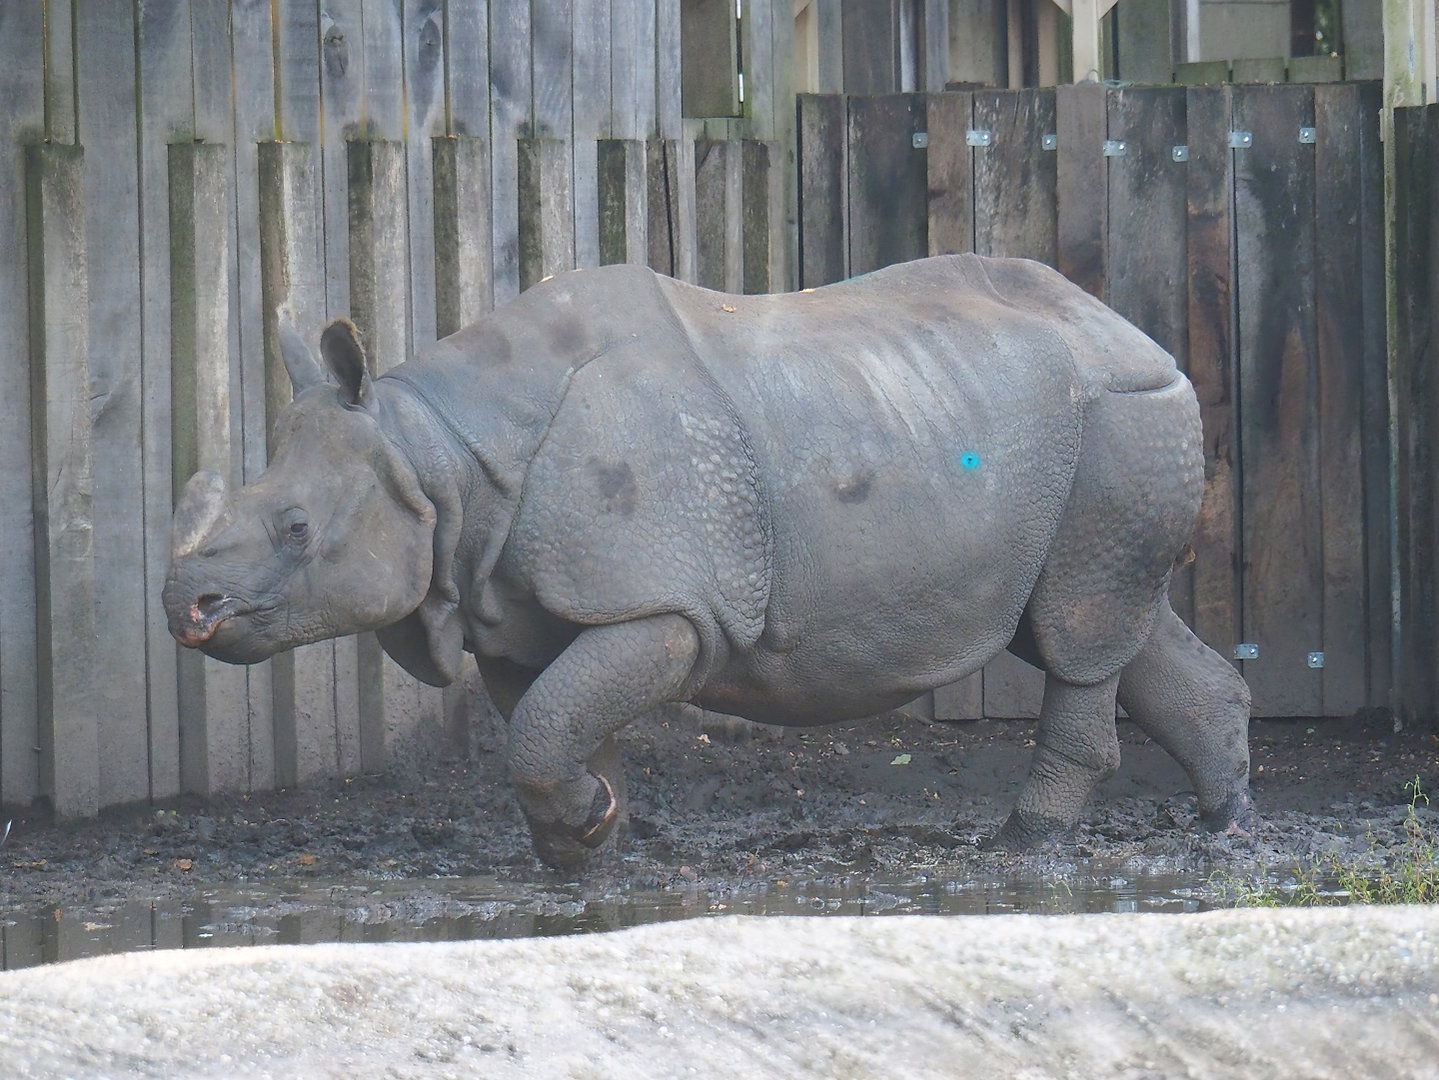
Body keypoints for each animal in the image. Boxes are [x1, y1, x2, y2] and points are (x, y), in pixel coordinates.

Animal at [164, 255, 1253, 867]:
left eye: (295, 530)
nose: (186, 605)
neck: (433, 457)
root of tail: (1133, 330)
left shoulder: (667, 607)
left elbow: (545, 729)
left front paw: (582, 833)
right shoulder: (512, 608)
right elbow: (554, 725)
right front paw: (587, 844)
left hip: (1118, 412)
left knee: (1078, 630)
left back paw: (1029, 847)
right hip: (1053, 428)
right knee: (1096, 620)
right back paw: (1225, 827)